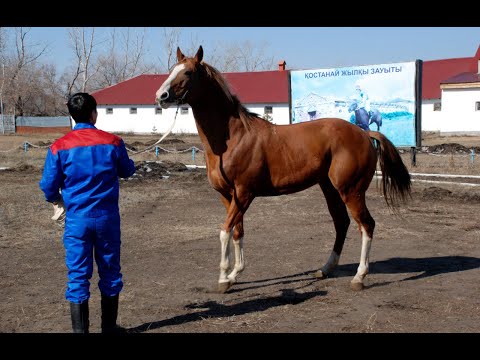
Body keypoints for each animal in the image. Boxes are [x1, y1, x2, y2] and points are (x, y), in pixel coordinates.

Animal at [156, 45, 410, 292]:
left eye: (188, 72)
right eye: (172, 70)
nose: (161, 96)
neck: (234, 138)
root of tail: (365, 134)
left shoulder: (244, 193)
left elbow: (224, 231)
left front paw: (223, 278)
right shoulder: (228, 196)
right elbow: (237, 231)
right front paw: (235, 274)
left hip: (351, 191)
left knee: (366, 225)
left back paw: (359, 276)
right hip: (330, 188)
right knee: (342, 223)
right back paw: (325, 269)